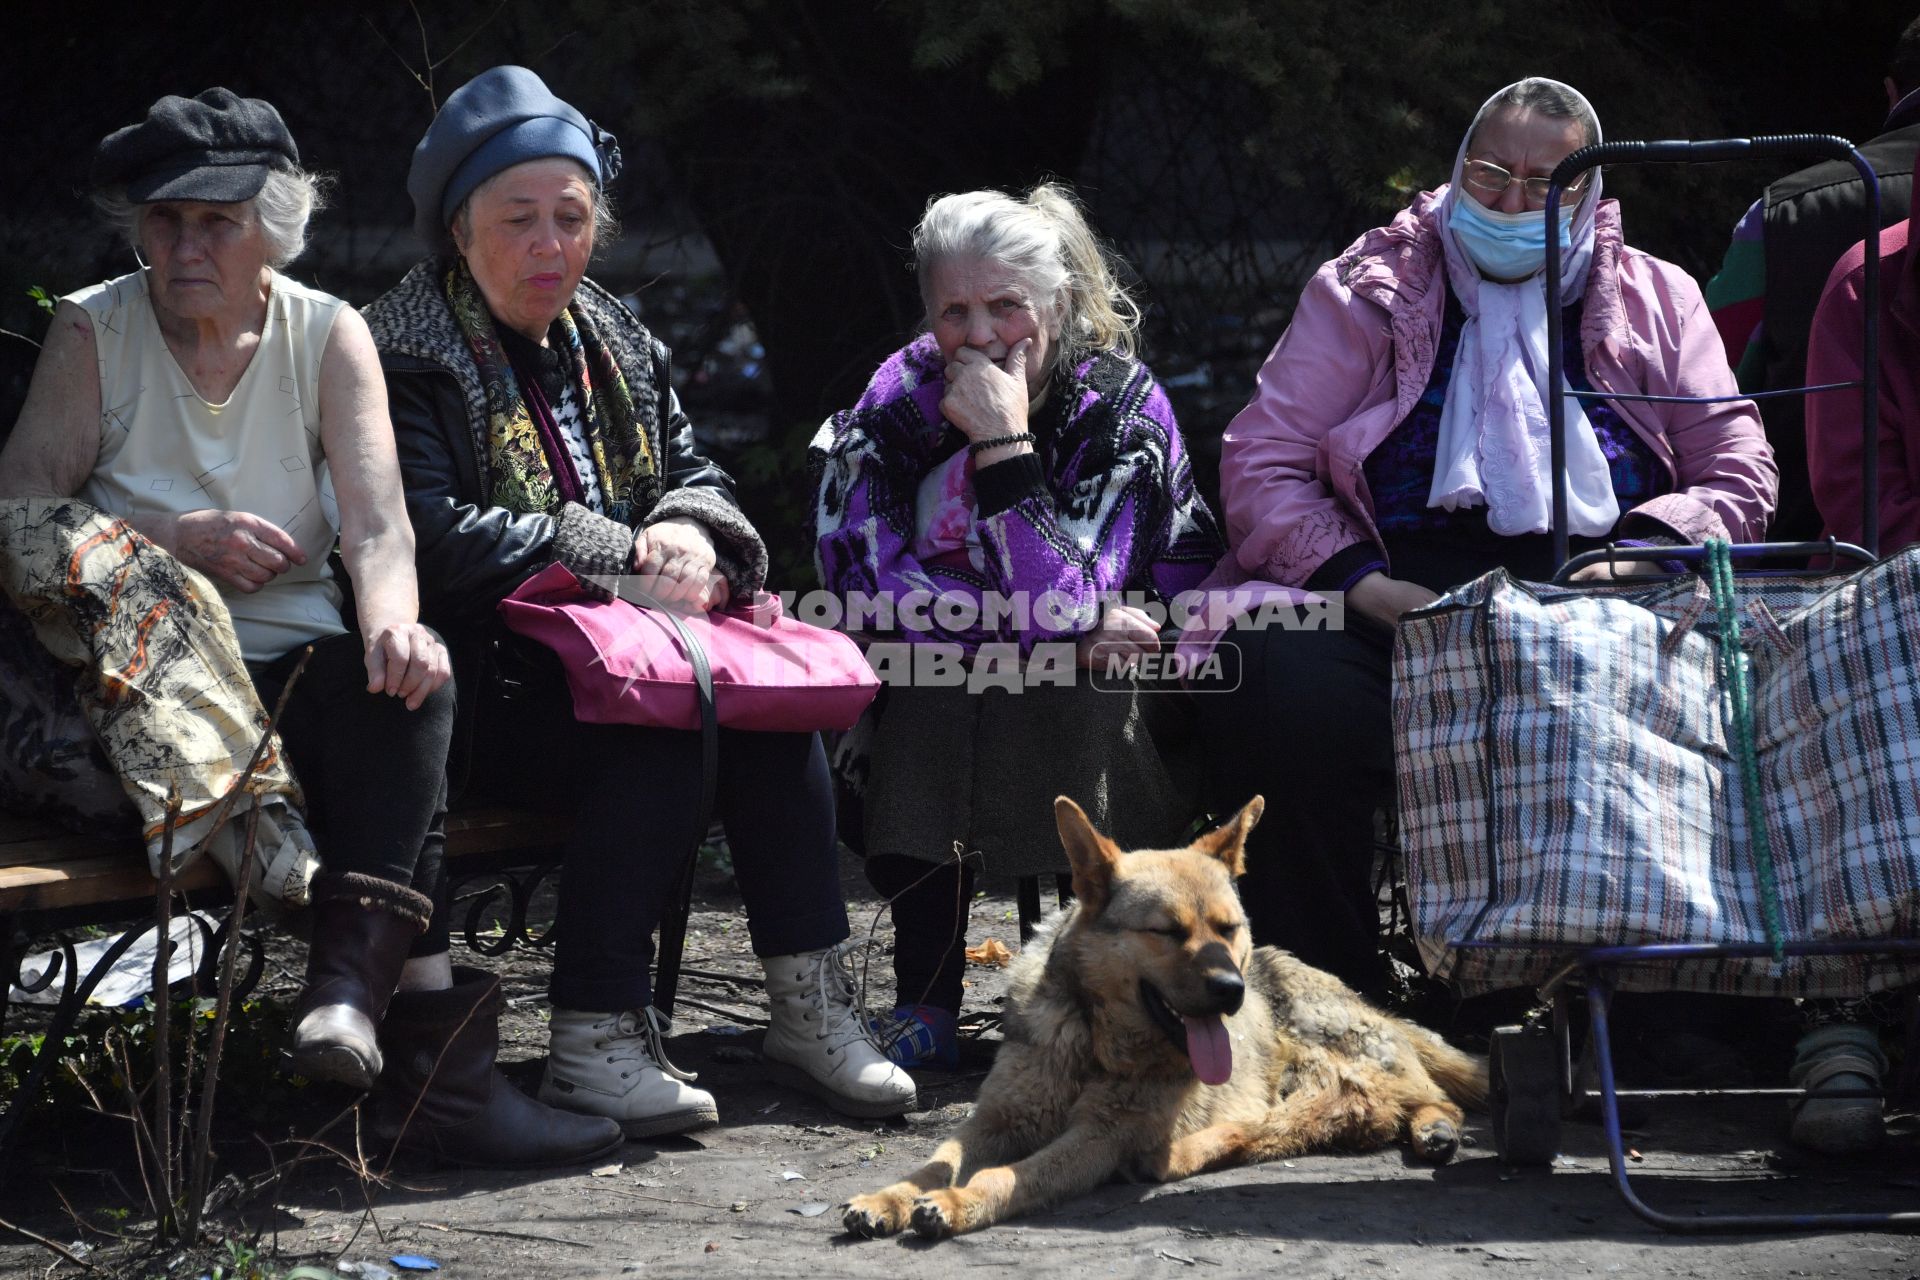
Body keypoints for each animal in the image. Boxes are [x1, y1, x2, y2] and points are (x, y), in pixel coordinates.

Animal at [840, 794, 1482, 1235]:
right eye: (1168, 932)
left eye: (1228, 928)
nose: (1232, 991)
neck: (1091, 1041)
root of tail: (1363, 1000)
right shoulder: (996, 1119)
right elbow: (936, 1162)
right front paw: (889, 1197)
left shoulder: (1099, 1137)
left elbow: (1008, 1176)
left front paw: (957, 1202)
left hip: (1322, 1074)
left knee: (1362, 1106)